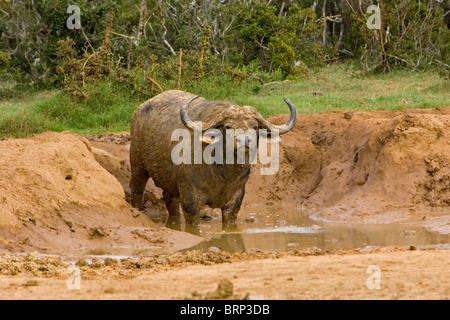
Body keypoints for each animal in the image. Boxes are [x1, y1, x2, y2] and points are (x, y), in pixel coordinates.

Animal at [129, 90, 296, 228]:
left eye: (254, 126)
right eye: (228, 126)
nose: (244, 140)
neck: (222, 174)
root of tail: (139, 110)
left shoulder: (235, 200)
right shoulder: (190, 199)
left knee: (170, 200)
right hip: (137, 165)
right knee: (136, 190)